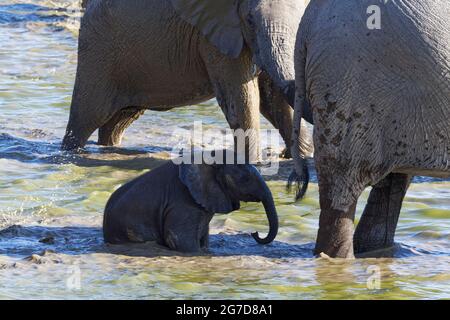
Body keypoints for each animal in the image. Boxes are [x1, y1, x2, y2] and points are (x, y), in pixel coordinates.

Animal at [61, 0, 312, 160]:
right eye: (250, 20)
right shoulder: (215, 34)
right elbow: (241, 97)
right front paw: (252, 164)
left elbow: (272, 96)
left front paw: (299, 158)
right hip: (99, 53)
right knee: (86, 118)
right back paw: (71, 154)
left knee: (118, 121)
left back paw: (111, 151)